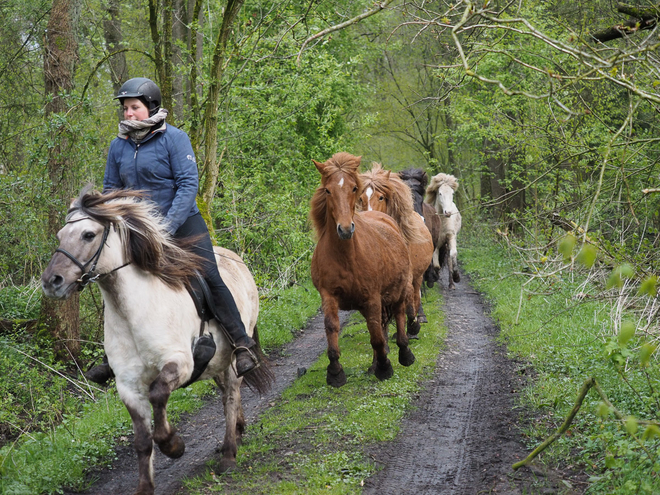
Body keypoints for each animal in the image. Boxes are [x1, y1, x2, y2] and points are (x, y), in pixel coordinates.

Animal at [40, 189, 272, 495]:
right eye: (59, 235)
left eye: (88, 235)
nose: (51, 281)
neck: (135, 313)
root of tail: (234, 257)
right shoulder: (128, 386)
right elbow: (141, 440)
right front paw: (144, 487)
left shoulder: (180, 363)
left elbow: (159, 394)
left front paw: (174, 445)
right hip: (218, 364)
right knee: (225, 394)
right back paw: (238, 431)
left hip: (234, 360)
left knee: (232, 395)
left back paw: (229, 455)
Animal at [308, 151, 412, 388]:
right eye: (327, 190)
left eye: (354, 188)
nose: (345, 229)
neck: (346, 256)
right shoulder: (328, 295)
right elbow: (332, 327)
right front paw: (335, 372)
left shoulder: (372, 297)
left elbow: (376, 335)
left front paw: (384, 368)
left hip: (398, 291)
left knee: (399, 314)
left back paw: (404, 353)